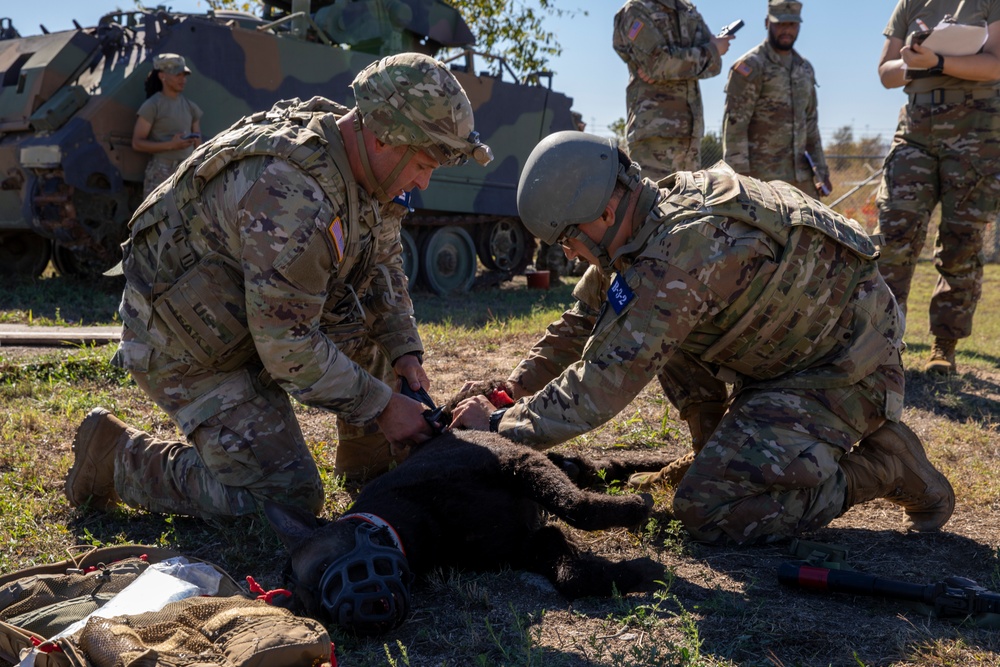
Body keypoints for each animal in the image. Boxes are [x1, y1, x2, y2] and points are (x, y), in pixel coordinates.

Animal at [266, 428, 672, 636]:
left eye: (324, 570)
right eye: (320, 613)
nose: (355, 618)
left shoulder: (518, 463)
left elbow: (577, 507)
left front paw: (635, 508)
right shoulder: (531, 544)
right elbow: (571, 576)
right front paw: (635, 574)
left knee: (604, 466)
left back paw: (658, 469)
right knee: (593, 469)